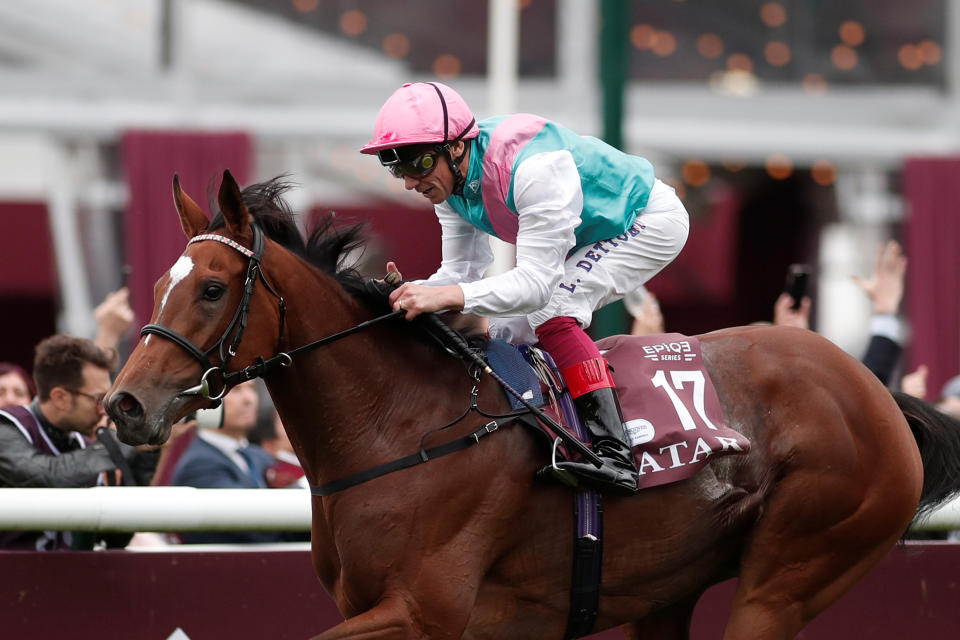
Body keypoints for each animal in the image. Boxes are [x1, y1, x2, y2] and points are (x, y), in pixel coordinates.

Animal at [109, 171, 960, 640]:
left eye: (211, 289)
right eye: (157, 284)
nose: (124, 406)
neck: (401, 425)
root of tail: (876, 394)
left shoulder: (426, 612)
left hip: (792, 570)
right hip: (669, 588)